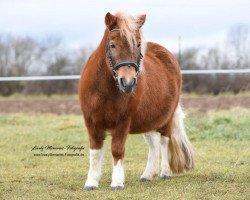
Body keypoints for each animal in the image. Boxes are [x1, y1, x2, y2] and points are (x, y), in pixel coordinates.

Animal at [79, 11, 194, 190]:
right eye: (112, 45)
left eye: (138, 44)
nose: (128, 82)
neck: (104, 91)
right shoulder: (91, 121)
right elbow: (95, 151)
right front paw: (91, 182)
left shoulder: (123, 121)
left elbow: (117, 149)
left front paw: (117, 182)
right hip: (148, 118)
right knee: (153, 144)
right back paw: (147, 175)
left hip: (166, 118)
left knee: (164, 141)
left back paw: (165, 172)